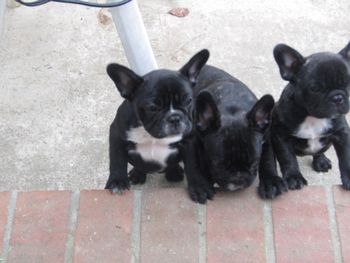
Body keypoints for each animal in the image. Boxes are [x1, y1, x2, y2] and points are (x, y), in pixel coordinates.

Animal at [105, 50, 209, 194]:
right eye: (152, 108)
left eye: (188, 101)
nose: (174, 117)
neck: (151, 135)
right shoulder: (116, 134)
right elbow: (117, 159)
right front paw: (117, 181)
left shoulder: (190, 140)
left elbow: (193, 164)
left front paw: (199, 186)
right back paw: (138, 174)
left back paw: (173, 172)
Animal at [183, 64, 284, 204]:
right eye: (218, 165)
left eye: (254, 163)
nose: (238, 179)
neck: (232, 105)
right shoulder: (191, 140)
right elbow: (193, 162)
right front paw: (200, 186)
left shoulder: (266, 137)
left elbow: (268, 160)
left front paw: (271, 182)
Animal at [264, 42, 350, 197]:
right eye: (315, 88)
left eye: (348, 83)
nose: (338, 97)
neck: (312, 117)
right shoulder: (281, 135)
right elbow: (287, 157)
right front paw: (294, 177)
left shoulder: (342, 133)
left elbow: (346, 158)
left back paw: (321, 161)